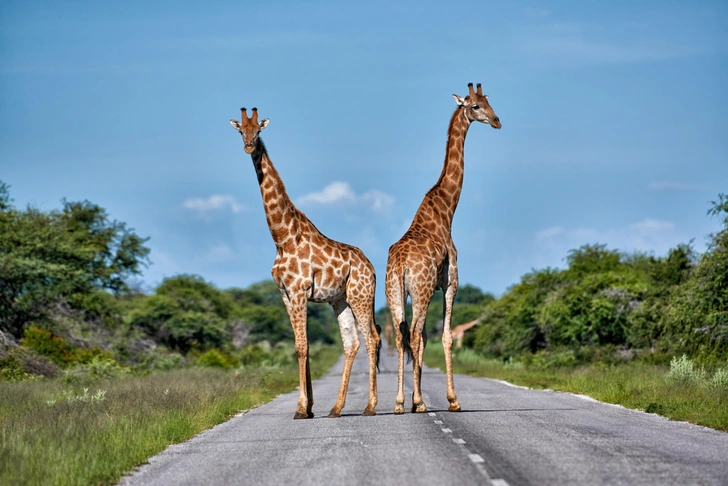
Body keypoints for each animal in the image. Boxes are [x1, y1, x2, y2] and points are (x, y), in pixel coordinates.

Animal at [232, 108, 382, 420]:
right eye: (241, 130)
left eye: (258, 130)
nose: (249, 147)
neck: (282, 237)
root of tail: (371, 268)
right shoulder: (285, 294)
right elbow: (302, 346)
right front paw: (310, 407)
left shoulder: (299, 290)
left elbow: (301, 346)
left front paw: (301, 408)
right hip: (340, 299)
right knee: (351, 343)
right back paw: (336, 408)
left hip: (361, 296)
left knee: (372, 338)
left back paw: (370, 406)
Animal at [386, 82, 500, 414]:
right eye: (474, 106)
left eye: (489, 101)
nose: (497, 120)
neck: (447, 208)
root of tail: (401, 265)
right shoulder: (450, 282)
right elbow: (446, 336)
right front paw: (451, 400)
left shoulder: (433, 287)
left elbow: (425, 338)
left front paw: (416, 398)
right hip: (420, 291)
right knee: (411, 333)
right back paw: (416, 402)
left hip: (394, 292)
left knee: (402, 335)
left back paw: (400, 403)